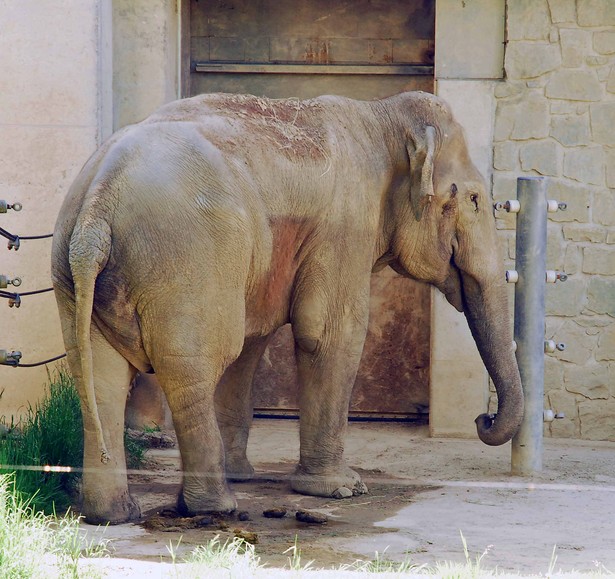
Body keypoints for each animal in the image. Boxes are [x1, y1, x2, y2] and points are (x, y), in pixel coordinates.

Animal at [53, 90, 524, 524]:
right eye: (474, 199)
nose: (483, 419)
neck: (380, 116)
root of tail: (99, 201)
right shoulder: (345, 226)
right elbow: (329, 335)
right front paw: (342, 490)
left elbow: (252, 343)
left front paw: (248, 474)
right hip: (184, 258)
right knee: (193, 366)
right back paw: (217, 507)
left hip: (75, 271)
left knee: (100, 375)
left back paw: (114, 515)